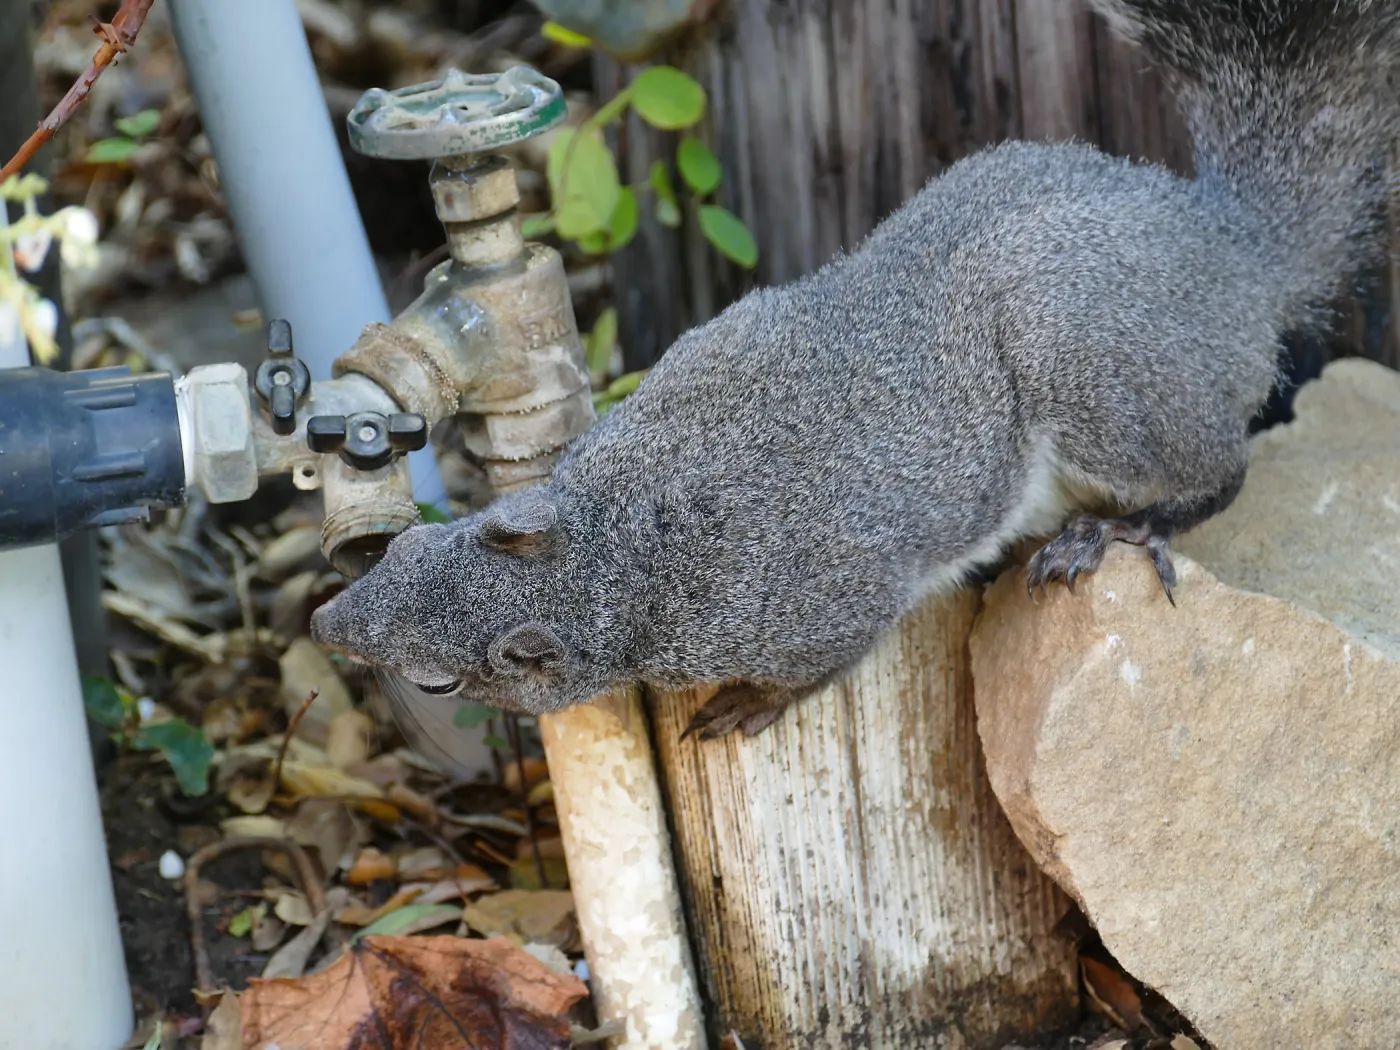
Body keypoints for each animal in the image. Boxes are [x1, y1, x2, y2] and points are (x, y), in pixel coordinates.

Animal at [312, 0, 1400, 740]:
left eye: (441, 678)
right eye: (415, 548)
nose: (325, 622)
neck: (619, 539)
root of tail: (1232, 254)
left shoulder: (820, 604)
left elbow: (822, 663)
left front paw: (745, 709)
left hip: (1098, 376)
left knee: (1219, 468)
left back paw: (1120, 529)